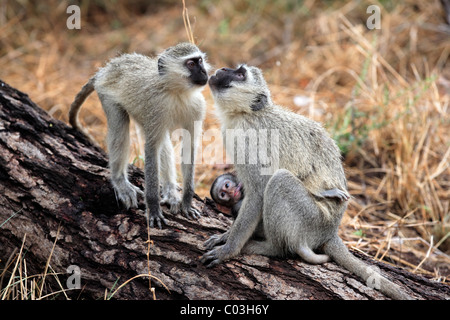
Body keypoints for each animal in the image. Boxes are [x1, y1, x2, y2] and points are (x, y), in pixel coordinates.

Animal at [69, 42, 210, 229]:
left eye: (200, 60)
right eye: (191, 64)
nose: (204, 72)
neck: (177, 92)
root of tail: (109, 67)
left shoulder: (197, 107)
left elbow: (189, 147)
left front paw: (187, 201)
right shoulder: (156, 108)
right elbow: (151, 149)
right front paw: (153, 209)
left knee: (162, 142)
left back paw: (170, 191)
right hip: (106, 93)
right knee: (120, 133)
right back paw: (120, 181)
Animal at [202, 65, 414, 300]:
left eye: (240, 74)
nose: (222, 68)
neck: (246, 114)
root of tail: (330, 231)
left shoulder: (249, 140)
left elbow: (257, 193)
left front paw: (229, 249)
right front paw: (226, 236)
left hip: (313, 219)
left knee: (280, 181)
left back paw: (271, 248)